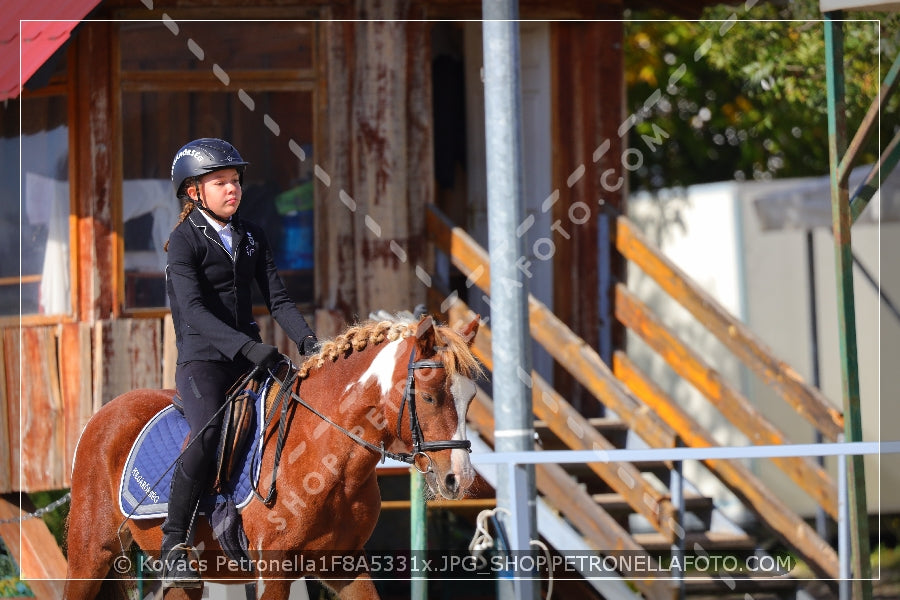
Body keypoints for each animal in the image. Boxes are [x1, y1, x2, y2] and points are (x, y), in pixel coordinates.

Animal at [66, 316, 482, 596]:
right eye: (429, 397)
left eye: (471, 398)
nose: (459, 479)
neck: (330, 462)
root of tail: (105, 412)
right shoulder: (273, 570)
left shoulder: (344, 563)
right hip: (90, 556)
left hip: (184, 581)